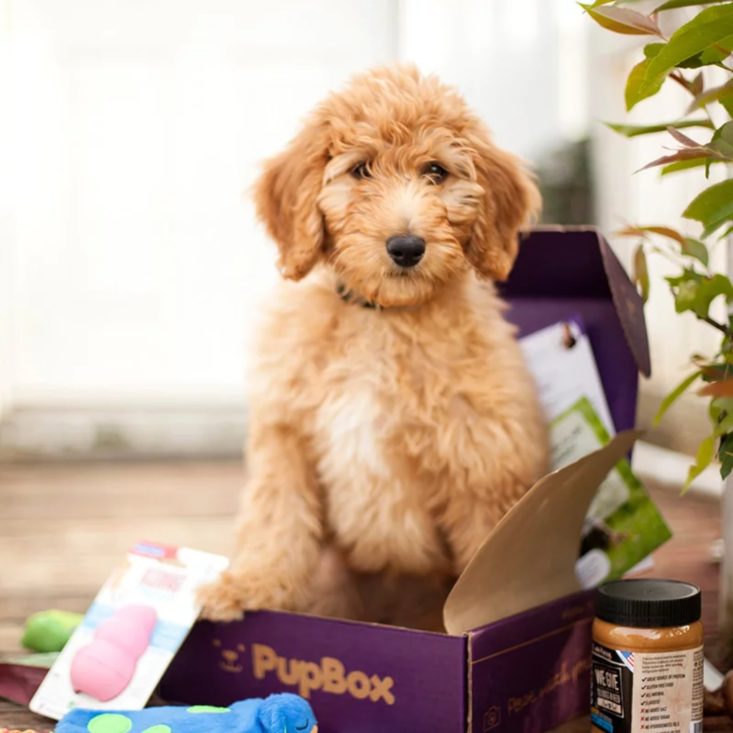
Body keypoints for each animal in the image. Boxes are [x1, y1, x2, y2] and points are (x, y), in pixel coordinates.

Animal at [202, 66, 548, 624]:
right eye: (360, 169)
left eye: (436, 172)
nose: (406, 247)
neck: (381, 318)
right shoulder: (288, 438)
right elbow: (276, 515)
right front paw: (250, 584)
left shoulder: (482, 462)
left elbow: (485, 552)